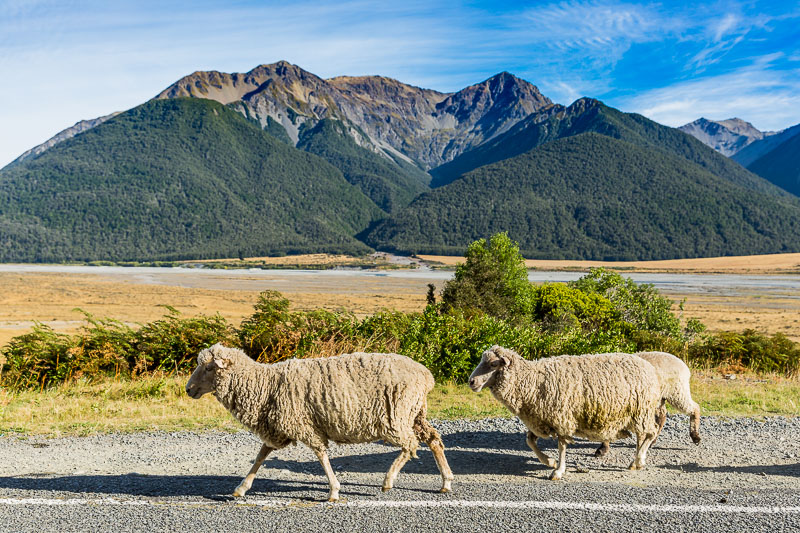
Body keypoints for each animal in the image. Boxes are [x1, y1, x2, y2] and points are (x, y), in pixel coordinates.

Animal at [184, 342, 454, 500]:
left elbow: (321, 455)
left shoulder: (303, 423)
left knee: (410, 445)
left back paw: (388, 481)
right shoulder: (277, 427)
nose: (188, 389)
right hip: (415, 413)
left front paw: (334, 491)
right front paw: (241, 488)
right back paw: (446, 481)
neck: (264, 384)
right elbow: (261, 456)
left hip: (396, 416)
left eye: (209, 368)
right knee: (434, 440)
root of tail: (426, 375)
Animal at [466, 342, 660, 480]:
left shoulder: (562, 418)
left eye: (493, 363)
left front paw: (558, 470)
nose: (471, 382)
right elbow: (530, 441)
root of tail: (648, 366)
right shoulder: (540, 419)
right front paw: (549, 462)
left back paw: (637, 461)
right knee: (643, 436)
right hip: (638, 414)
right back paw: (639, 460)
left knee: (651, 433)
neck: (532, 380)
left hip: (641, 411)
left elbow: (562, 446)